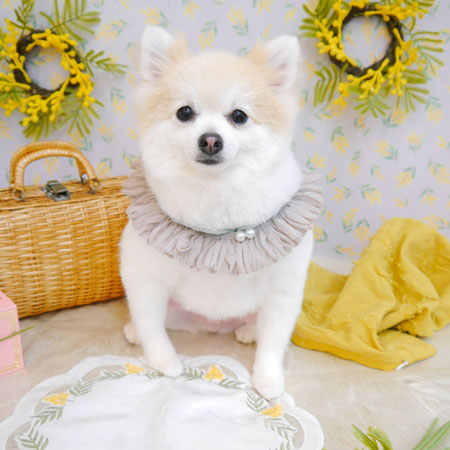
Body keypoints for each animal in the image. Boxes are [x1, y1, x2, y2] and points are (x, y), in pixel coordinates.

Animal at [120, 26, 315, 400]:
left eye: (238, 116)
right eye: (185, 112)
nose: (210, 140)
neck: (215, 192)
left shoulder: (283, 288)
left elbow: (273, 342)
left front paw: (268, 380)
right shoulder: (144, 275)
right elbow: (152, 326)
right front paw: (164, 361)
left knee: (258, 325)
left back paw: (249, 331)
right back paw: (134, 330)